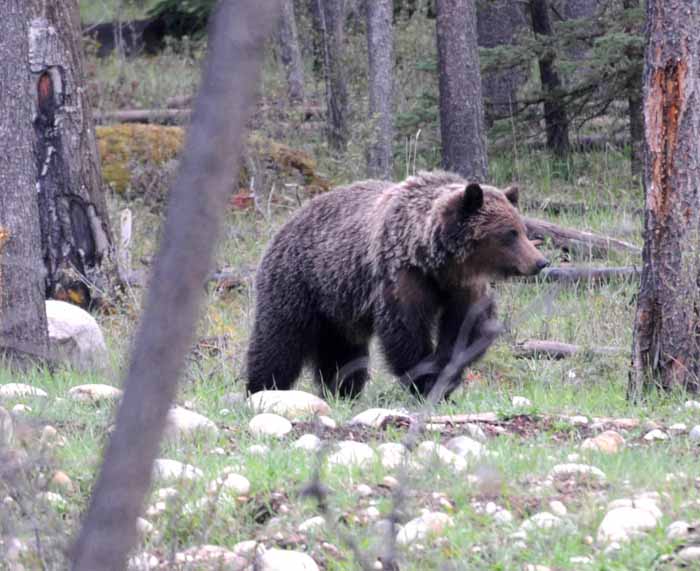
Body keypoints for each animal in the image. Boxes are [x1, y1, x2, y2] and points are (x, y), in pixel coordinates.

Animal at [245, 172, 548, 400]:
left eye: (522, 229)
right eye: (509, 233)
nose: (540, 262)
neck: (436, 261)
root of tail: (288, 222)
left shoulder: (463, 288)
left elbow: (467, 331)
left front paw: (445, 376)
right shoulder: (402, 277)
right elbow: (405, 331)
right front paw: (425, 382)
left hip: (339, 308)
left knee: (342, 353)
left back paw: (342, 390)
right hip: (298, 284)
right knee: (278, 340)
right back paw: (262, 387)